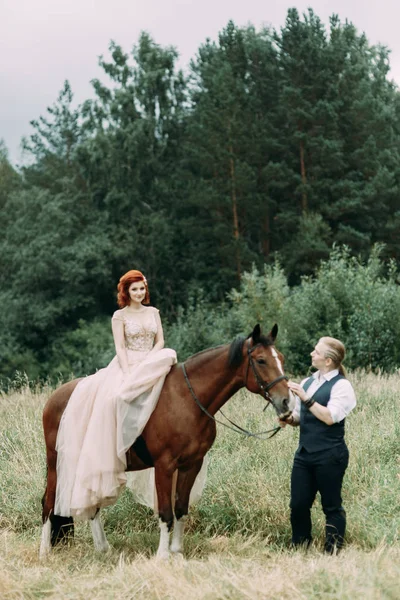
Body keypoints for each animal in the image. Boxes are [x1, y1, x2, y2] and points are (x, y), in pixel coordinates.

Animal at [40, 326, 294, 560]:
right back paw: (45, 552)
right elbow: (165, 512)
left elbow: (180, 509)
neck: (187, 399)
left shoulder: (191, 465)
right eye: (261, 360)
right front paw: (162, 556)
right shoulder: (164, 466)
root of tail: (54, 399)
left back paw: (103, 548)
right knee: (48, 502)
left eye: (281, 358)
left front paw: (177, 551)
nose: (286, 401)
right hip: (56, 464)